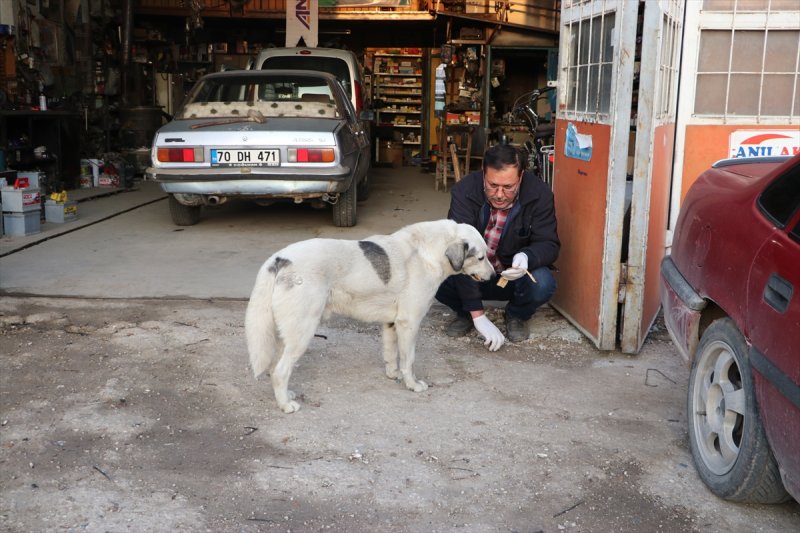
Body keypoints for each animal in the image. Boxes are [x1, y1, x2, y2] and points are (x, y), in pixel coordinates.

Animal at [244, 218, 494, 414]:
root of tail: (279, 258)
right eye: (481, 258)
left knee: (275, 368)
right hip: (302, 332)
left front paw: (393, 375)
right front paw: (412, 384)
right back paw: (286, 406)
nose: (493, 277)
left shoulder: (392, 323)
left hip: (285, 334)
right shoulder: (409, 324)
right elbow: (408, 359)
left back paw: (287, 396)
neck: (428, 251)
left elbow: (391, 354)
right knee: (280, 371)